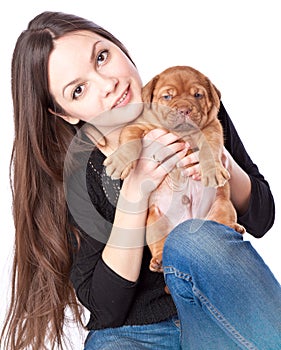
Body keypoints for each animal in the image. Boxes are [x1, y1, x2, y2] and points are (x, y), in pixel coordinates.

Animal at [104, 66, 244, 274]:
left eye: (197, 95)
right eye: (167, 97)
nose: (184, 109)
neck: (181, 133)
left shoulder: (212, 127)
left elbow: (209, 149)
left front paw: (212, 171)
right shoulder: (138, 125)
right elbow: (130, 139)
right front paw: (120, 161)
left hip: (222, 205)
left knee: (223, 225)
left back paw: (235, 228)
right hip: (154, 222)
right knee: (160, 244)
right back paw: (159, 260)